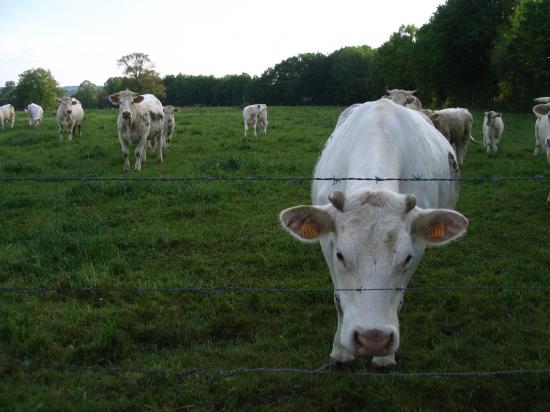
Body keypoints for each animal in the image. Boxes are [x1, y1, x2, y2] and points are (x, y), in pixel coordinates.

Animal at [280, 99, 470, 366]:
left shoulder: (418, 246)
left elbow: (398, 299)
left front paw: (384, 359)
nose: (373, 339)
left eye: (406, 258)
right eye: (341, 256)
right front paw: (340, 352)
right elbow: (338, 299)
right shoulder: (327, 242)